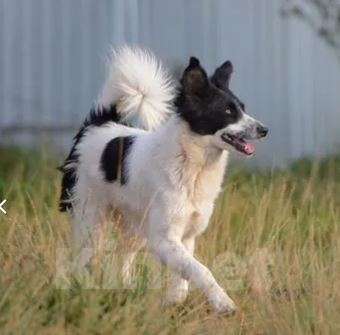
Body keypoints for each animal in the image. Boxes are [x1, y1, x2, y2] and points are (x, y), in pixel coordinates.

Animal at [59, 47, 268, 316]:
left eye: (242, 108)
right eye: (228, 111)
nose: (264, 130)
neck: (192, 162)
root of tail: (98, 124)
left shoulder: (186, 238)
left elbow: (184, 277)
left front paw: (174, 303)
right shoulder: (163, 239)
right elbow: (201, 270)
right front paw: (223, 303)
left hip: (135, 226)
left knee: (123, 259)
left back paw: (127, 291)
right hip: (91, 219)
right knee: (83, 258)